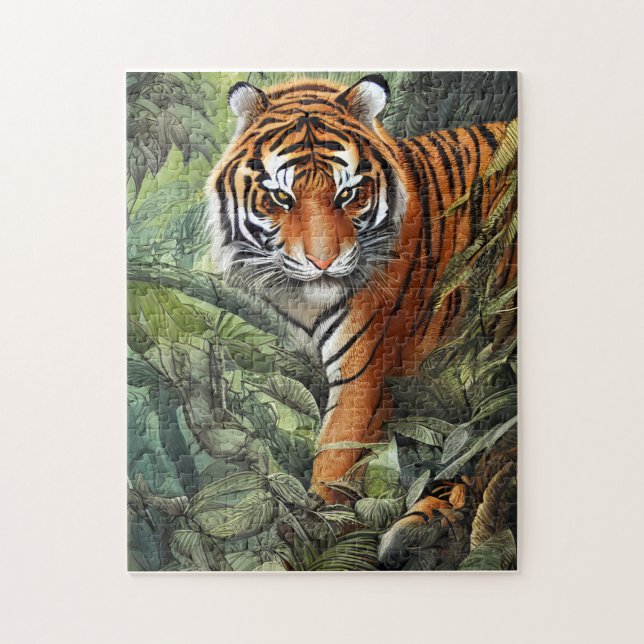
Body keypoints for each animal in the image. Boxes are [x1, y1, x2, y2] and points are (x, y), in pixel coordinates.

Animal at [207, 74, 517, 506]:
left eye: (347, 194)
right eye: (282, 197)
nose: (323, 262)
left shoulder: (366, 375)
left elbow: (337, 457)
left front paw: (321, 516)